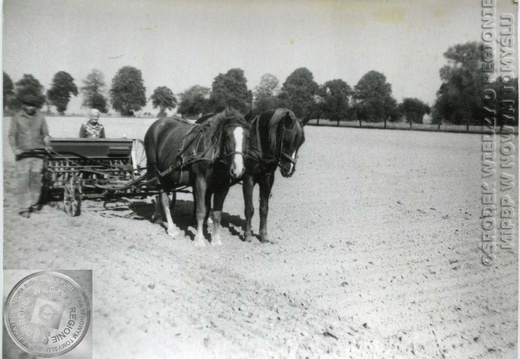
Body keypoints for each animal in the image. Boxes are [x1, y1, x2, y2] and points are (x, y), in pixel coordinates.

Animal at [145, 108, 251, 246]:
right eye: (227, 136)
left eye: (248, 137)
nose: (237, 170)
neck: (211, 153)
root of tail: (157, 124)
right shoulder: (200, 182)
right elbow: (201, 211)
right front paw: (199, 240)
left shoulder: (223, 186)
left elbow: (217, 213)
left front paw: (216, 239)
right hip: (159, 174)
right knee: (163, 199)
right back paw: (171, 228)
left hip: (168, 176)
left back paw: (158, 218)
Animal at [244, 109, 308, 243]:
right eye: (287, 140)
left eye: (301, 141)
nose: (289, 169)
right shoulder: (248, 178)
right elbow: (249, 209)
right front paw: (247, 235)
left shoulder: (267, 179)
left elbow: (264, 209)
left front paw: (263, 235)